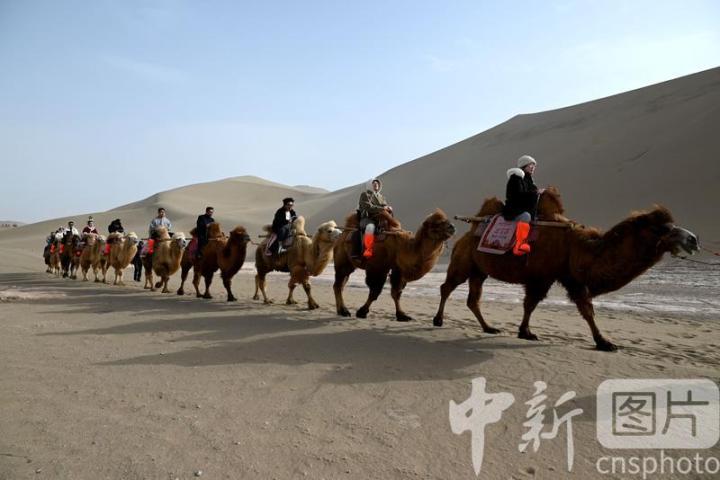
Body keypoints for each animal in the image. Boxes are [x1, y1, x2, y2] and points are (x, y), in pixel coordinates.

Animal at [432, 187, 699, 351]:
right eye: (662, 229)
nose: (694, 239)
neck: (577, 247)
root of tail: (464, 234)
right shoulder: (542, 276)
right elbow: (532, 303)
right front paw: (526, 332)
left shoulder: (570, 278)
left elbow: (586, 309)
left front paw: (604, 342)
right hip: (463, 261)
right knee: (447, 286)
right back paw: (438, 320)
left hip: (480, 270)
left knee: (473, 298)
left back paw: (488, 327)